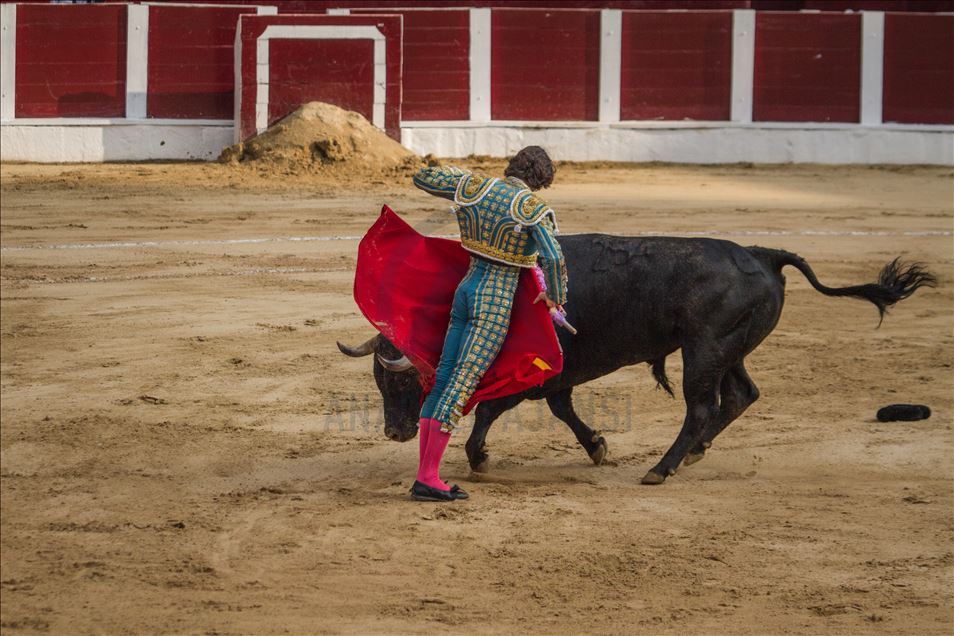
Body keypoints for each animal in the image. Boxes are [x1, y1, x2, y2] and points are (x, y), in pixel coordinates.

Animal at [334, 232, 928, 482]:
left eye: (401, 382)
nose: (393, 432)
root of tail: (763, 253)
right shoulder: (561, 376)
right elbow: (560, 410)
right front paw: (597, 446)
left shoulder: (536, 373)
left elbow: (492, 408)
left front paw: (479, 458)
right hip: (724, 350)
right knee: (741, 395)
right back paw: (692, 455)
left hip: (704, 350)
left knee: (702, 407)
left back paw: (661, 468)